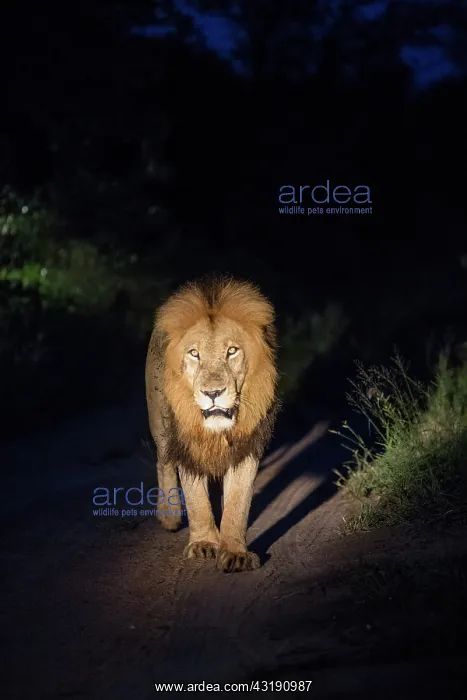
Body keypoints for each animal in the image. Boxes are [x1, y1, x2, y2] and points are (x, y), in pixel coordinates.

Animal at [145, 274, 279, 572]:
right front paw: (204, 543)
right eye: (194, 354)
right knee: (163, 460)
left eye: (232, 351)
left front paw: (235, 552)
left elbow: (238, 501)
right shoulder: (186, 442)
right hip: (160, 422)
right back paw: (169, 516)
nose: (213, 393)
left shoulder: (247, 446)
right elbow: (196, 500)